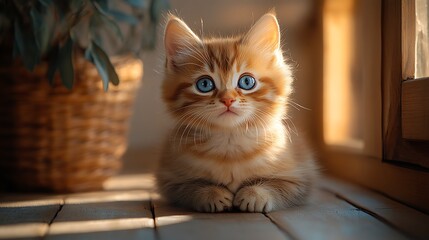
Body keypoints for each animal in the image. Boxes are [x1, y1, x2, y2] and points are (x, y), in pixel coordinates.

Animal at [155, 12, 316, 212]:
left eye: (247, 82)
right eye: (204, 84)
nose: (227, 100)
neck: (230, 144)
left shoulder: (300, 177)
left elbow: (278, 186)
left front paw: (255, 194)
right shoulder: (170, 179)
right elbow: (189, 188)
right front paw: (211, 194)